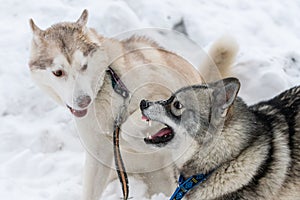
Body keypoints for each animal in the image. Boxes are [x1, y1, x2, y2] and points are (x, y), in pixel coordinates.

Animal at [28, 9, 239, 200]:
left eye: (84, 66)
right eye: (58, 72)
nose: (83, 101)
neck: (105, 87)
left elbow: (129, 127)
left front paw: (134, 138)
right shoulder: (98, 154)